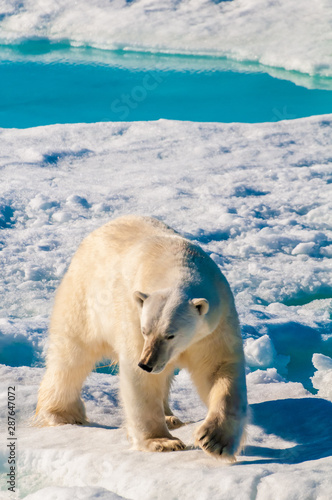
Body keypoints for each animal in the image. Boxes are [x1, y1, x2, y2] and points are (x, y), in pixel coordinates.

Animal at [35, 217, 246, 458]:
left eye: (171, 334)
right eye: (146, 330)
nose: (147, 363)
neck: (176, 263)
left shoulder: (215, 326)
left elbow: (218, 370)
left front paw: (214, 439)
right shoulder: (133, 314)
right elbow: (140, 380)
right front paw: (162, 441)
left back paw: (170, 416)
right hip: (84, 301)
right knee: (71, 355)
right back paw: (62, 414)